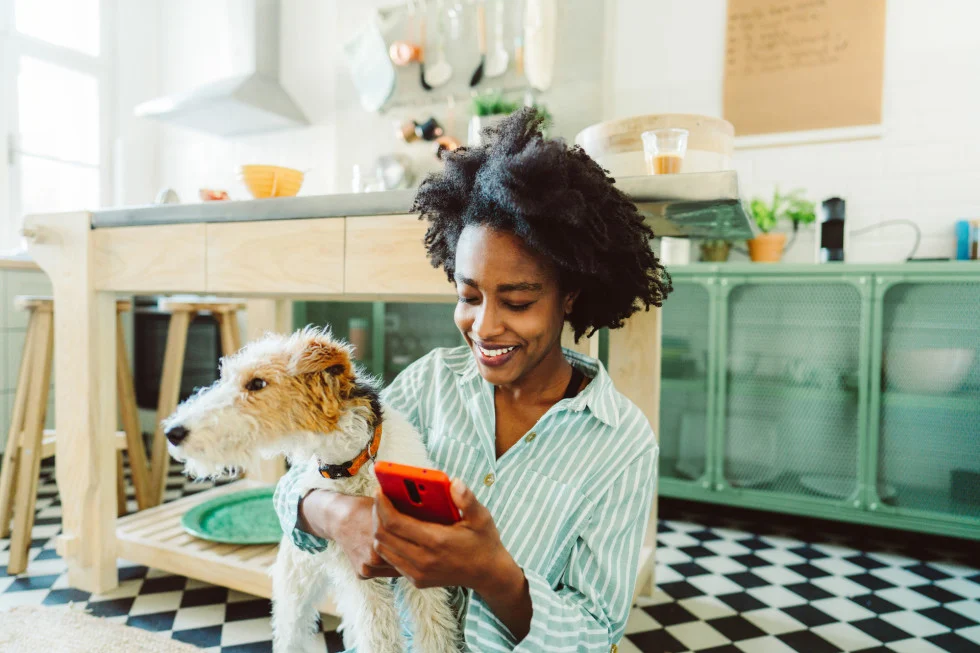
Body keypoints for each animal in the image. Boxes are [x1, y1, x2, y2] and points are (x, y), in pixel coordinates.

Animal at [164, 326, 460, 652]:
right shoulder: (361, 571)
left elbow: (435, 632)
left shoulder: (420, 575)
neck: (353, 462)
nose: (172, 432)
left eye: (257, 383)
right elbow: (379, 636)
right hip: (295, 591)